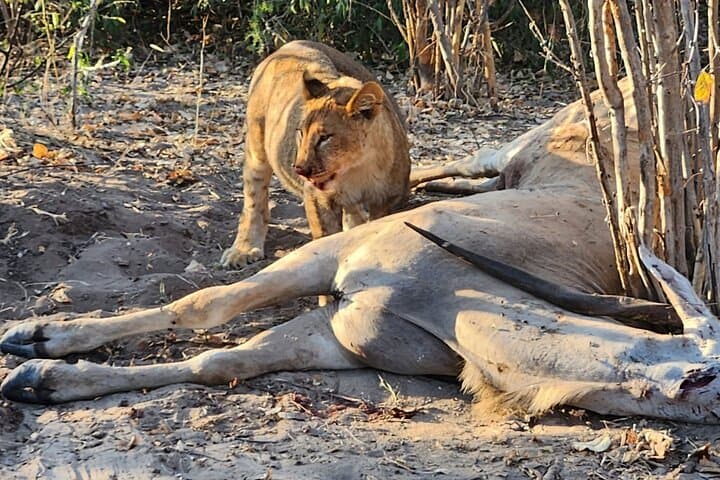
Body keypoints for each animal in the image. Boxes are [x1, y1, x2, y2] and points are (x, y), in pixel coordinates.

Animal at [219, 40, 410, 268]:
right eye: (300, 132)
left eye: (325, 138)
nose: (300, 169)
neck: (357, 169)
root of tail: (290, 44)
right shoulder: (317, 197)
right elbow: (326, 236)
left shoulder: (390, 198)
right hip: (256, 148)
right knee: (254, 199)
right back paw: (244, 249)